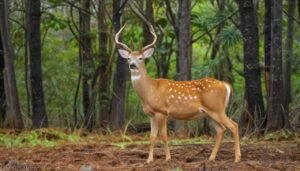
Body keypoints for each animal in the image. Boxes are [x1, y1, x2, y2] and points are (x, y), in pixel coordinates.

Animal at [115, 24, 241, 162]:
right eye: (128, 58)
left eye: (140, 58)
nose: (132, 65)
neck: (150, 90)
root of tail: (227, 85)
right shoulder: (151, 114)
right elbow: (152, 137)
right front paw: (149, 160)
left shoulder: (162, 111)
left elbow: (163, 135)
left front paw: (168, 158)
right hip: (210, 113)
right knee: (221, 130)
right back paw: (211, 158)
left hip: (217, 109)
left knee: (234, 126)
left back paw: (237, 158)